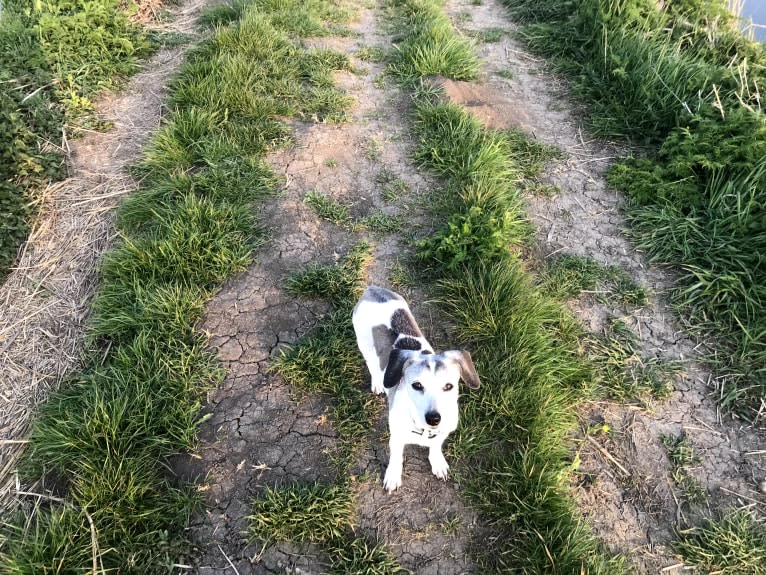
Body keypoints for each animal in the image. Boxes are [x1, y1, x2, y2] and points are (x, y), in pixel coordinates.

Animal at [352, 286, 480, 492]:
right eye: (417, 385)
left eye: (449, 386)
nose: (434, 418)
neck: (424, 429)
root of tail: (373, 289)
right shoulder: (396, 437)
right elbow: (396, 457)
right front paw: (393, 476)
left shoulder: (443, 431)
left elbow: (435, 446)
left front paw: (437, 461)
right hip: (364, 343)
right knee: (371, 363)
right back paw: (378, 382)